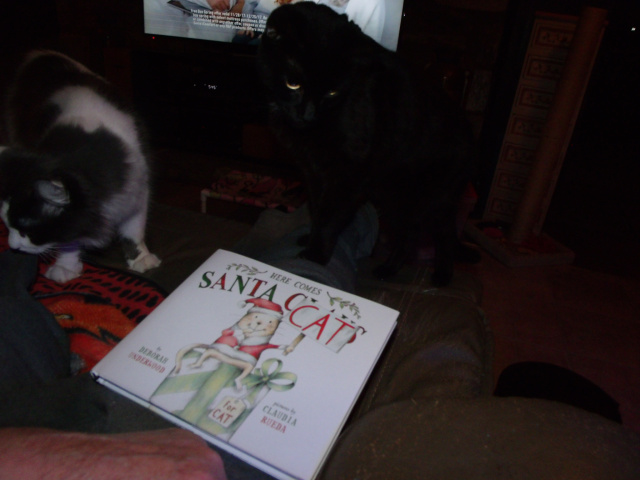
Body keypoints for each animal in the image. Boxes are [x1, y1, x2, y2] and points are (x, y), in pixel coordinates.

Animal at [0, 50, 161, 283]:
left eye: (26, 230)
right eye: (7, 226)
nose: (13, 247)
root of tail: (43, 55)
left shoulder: (139, 187)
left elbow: (134, 230)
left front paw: (141, 259)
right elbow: (71, 240)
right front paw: (66, 266)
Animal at [257, 3, 477, 286]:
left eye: (332, 92)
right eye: (293, 83)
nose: (307, 114)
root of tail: (469, 130)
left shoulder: (347, 176)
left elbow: (330, 217)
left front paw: (315, 257)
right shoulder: (312, 172)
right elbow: (317, 209)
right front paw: (310, 239)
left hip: (427, 198)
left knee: (442, 234)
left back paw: (440, 276)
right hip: (395, 195)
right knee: (413, 235)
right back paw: (390, 269)